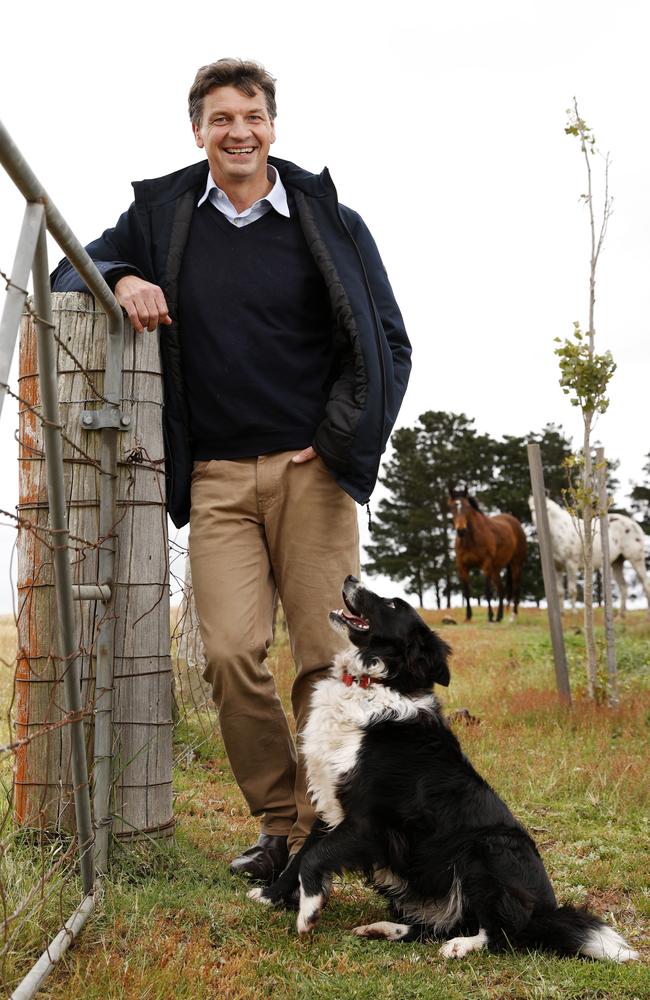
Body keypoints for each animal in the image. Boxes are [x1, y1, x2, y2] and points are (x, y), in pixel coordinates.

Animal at [450, 486, 528, 620]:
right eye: (452, 508)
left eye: (467, 507)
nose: (461, 530)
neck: (471, 540)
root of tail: (515, 522)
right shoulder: (462, 566)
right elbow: (466, 592)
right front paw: (468, 616)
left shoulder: (486, 565)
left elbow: (487, 591)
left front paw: (490, 616)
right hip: (495, 568)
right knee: (501, 589)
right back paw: (499, 617)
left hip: (516, 564)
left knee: (516, 587)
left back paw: (513, 616)